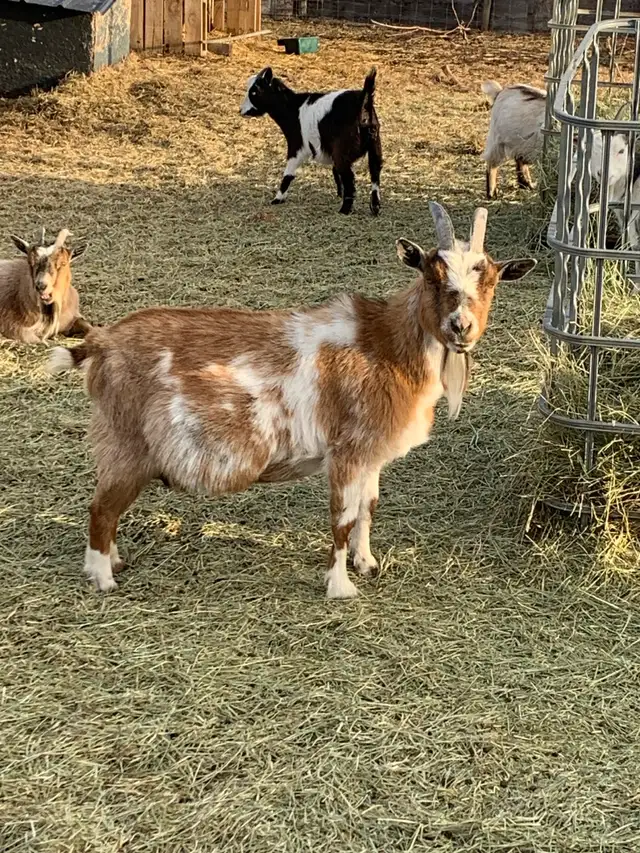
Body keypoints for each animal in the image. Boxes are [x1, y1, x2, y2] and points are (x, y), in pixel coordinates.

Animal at [49, 202, 535, 599]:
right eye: (432, 276)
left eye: (492, 281)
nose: (461, 326)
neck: (386, 345)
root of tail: (101, 343)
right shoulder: (346, 452)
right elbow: (342, 517)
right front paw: (340, 587)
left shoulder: (371, 454)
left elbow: (368, 507)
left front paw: (367, 563)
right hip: (126, 444)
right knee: (101, 508)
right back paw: (103, 578)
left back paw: (114, 562)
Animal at [240, 66, 383, 215]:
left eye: (254, 91)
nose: (241, 111)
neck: (292, 109)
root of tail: (364, 100)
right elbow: (335, 171)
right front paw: (339, 193)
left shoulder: (297, 145)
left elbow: (288, 173)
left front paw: (278, 199)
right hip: (374, 144)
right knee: (375, 171)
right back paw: (375, 207)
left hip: (343, 150)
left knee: (349, 177)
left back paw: (345, 210)